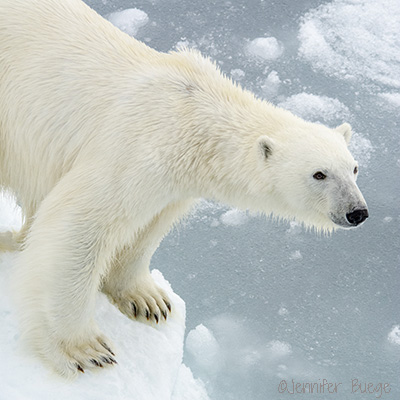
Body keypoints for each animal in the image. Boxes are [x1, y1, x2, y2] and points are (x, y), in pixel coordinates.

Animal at [0, 0, 368, 378]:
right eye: (319, 174)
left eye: (354, 168)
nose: (357, 212)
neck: (195, 114)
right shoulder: (136, 148)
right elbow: (80, 225)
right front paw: (84, 349)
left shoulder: (173, 181)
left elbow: (148, 227)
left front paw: (148, 300)